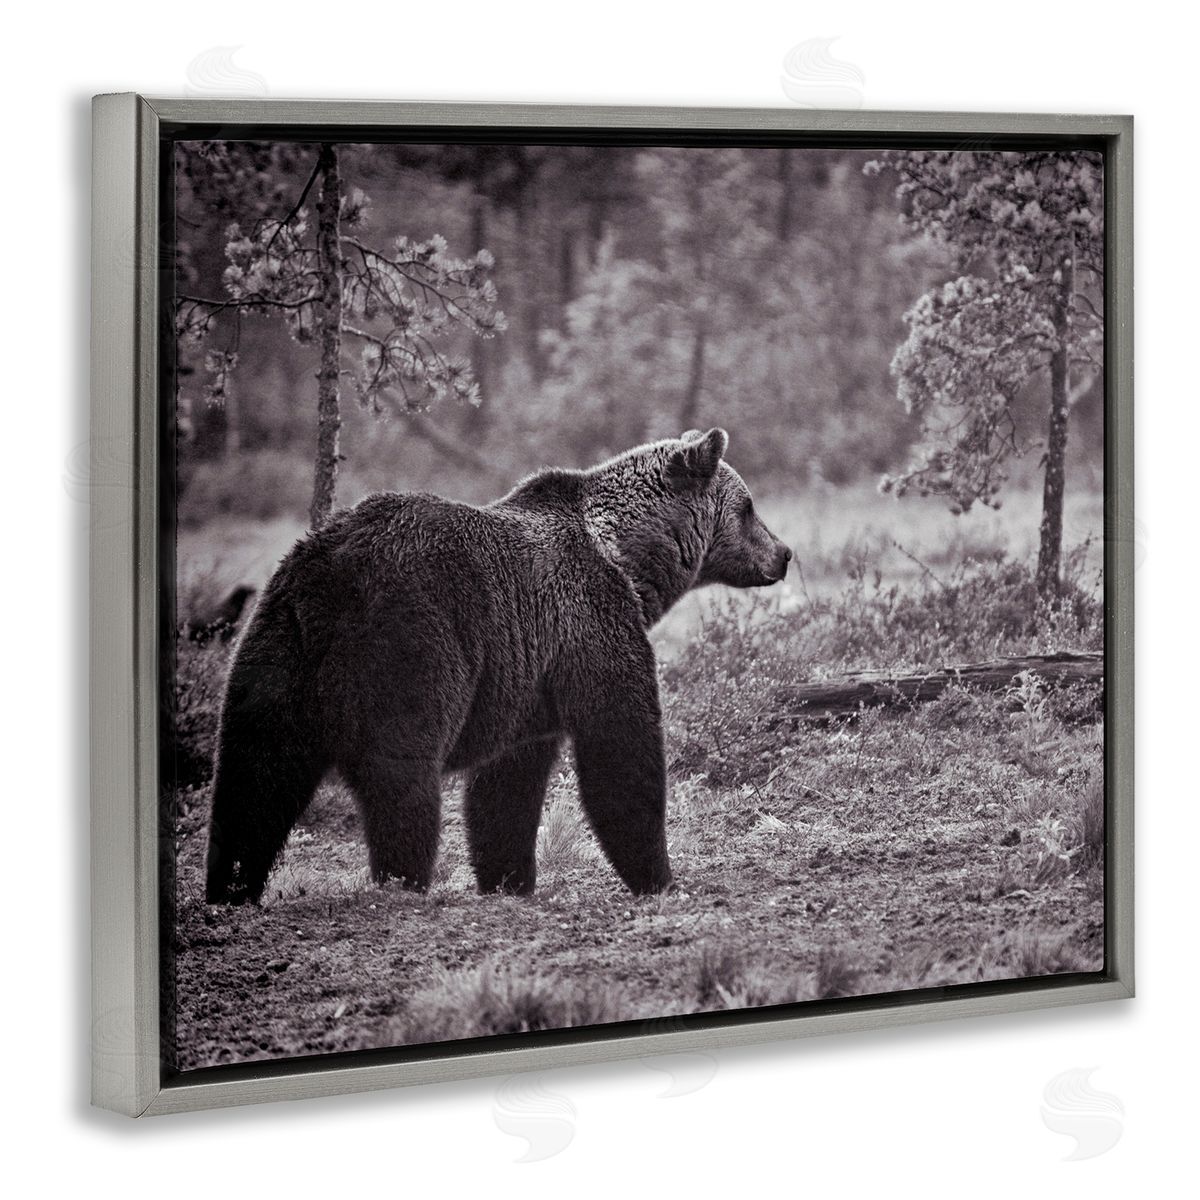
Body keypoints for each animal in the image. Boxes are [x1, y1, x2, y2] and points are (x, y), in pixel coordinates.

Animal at [204, 428, 791, 905]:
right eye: (748, 507)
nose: (784, 553)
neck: (627, 560)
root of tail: (331, 576)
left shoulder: (528, 679)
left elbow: (507, 785)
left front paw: (509, 879)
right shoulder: (590, 624)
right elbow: (620, 744)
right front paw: (660, 877)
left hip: (276, 646)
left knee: (253, 775)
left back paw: (230, 887)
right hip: (411, 641)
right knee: (401, 772)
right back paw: (403, 881)